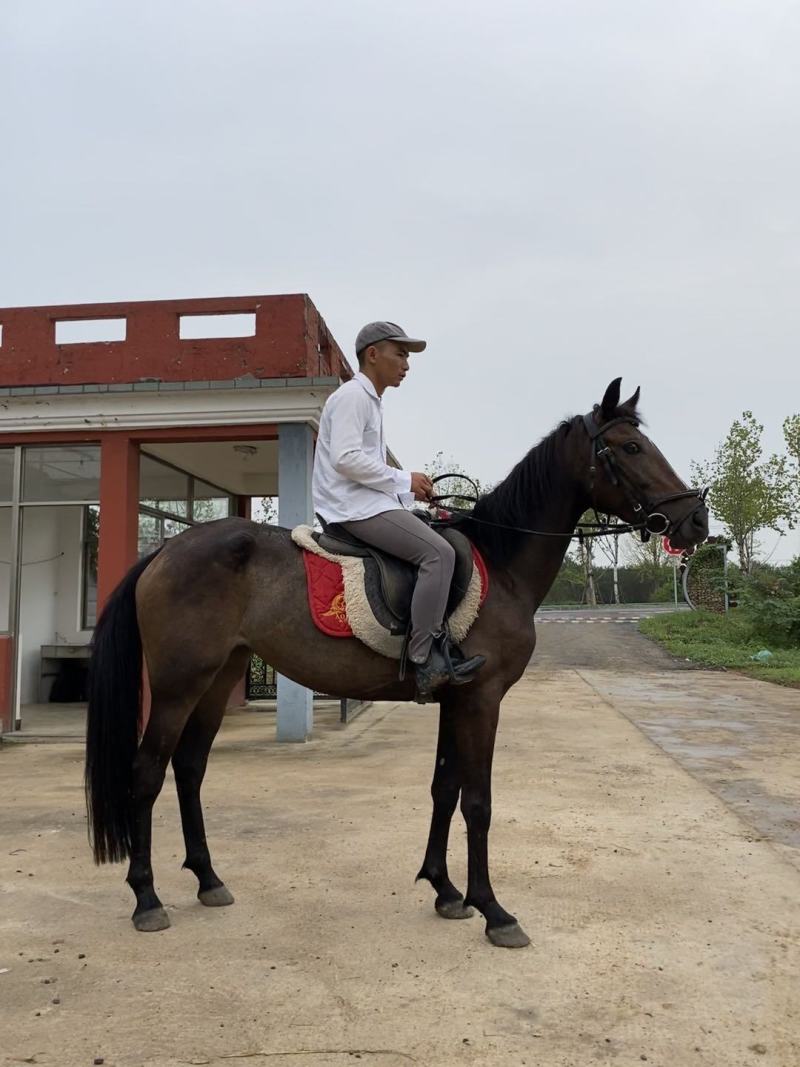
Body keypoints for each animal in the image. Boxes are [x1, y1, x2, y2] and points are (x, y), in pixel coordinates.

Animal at [85, 378, 708, 947]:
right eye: (630, 447)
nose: (695, 521)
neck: (501, 562)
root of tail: (164, 550)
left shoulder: (456, 699)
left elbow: (445, 788)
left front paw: (446, 890)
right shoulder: (482, 699)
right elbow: (478, 802)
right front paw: (494, 910)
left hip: (219, 678)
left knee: (190, 768)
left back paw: (209, 879)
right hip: (177, 685)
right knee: (147, 773)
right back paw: (147, 897)